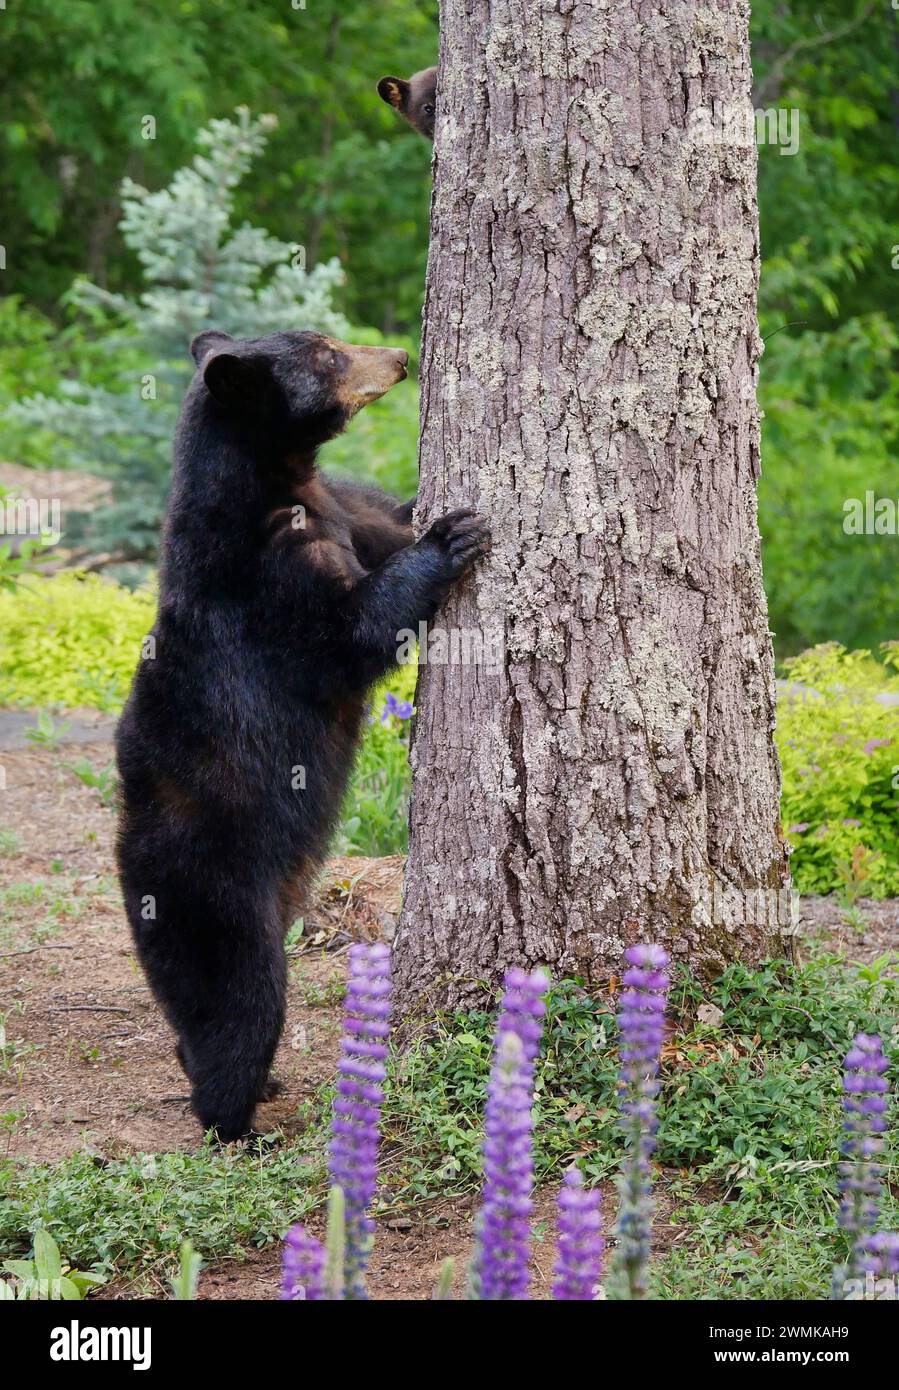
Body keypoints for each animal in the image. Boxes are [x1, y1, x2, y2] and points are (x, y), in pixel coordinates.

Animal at [116, 328, 491, 1139]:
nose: (399, 355)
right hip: (217, 895)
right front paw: (452, 535)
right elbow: (350, 632)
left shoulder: (339, 512)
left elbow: (381, 525)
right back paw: (236, 1118)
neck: (276, 485)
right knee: (238, 1006)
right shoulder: (266, 580)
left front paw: (426, 514)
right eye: (325, 355)